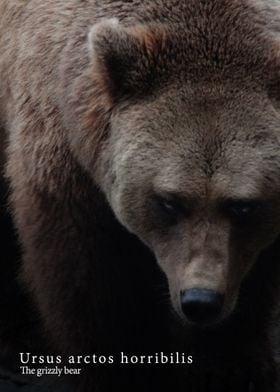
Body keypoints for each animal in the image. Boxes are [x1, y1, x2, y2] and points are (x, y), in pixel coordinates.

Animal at [0, 0, 280, 390]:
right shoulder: (65, 164)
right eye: (168, 201)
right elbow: (87, 281)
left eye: (243, 206)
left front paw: (233, 366)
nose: (201, 300)